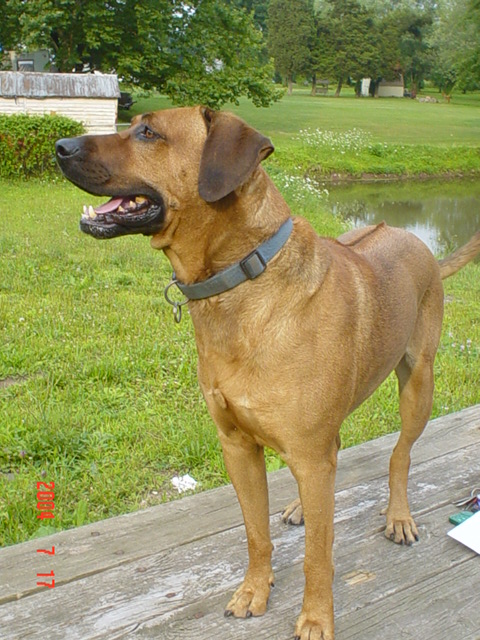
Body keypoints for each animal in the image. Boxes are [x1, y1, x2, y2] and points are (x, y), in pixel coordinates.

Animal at [56, 107, 480, 636]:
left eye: (148, 132)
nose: (60, 146)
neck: (241, 277)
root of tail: (420, 246)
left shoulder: (310, 454)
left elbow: (319, 556)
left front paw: (316, 617)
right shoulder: (237, 446)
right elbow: (255, 534)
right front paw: (254, 590)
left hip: (418, 383)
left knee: (399, 457)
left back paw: (398, 514)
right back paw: (302, 506)